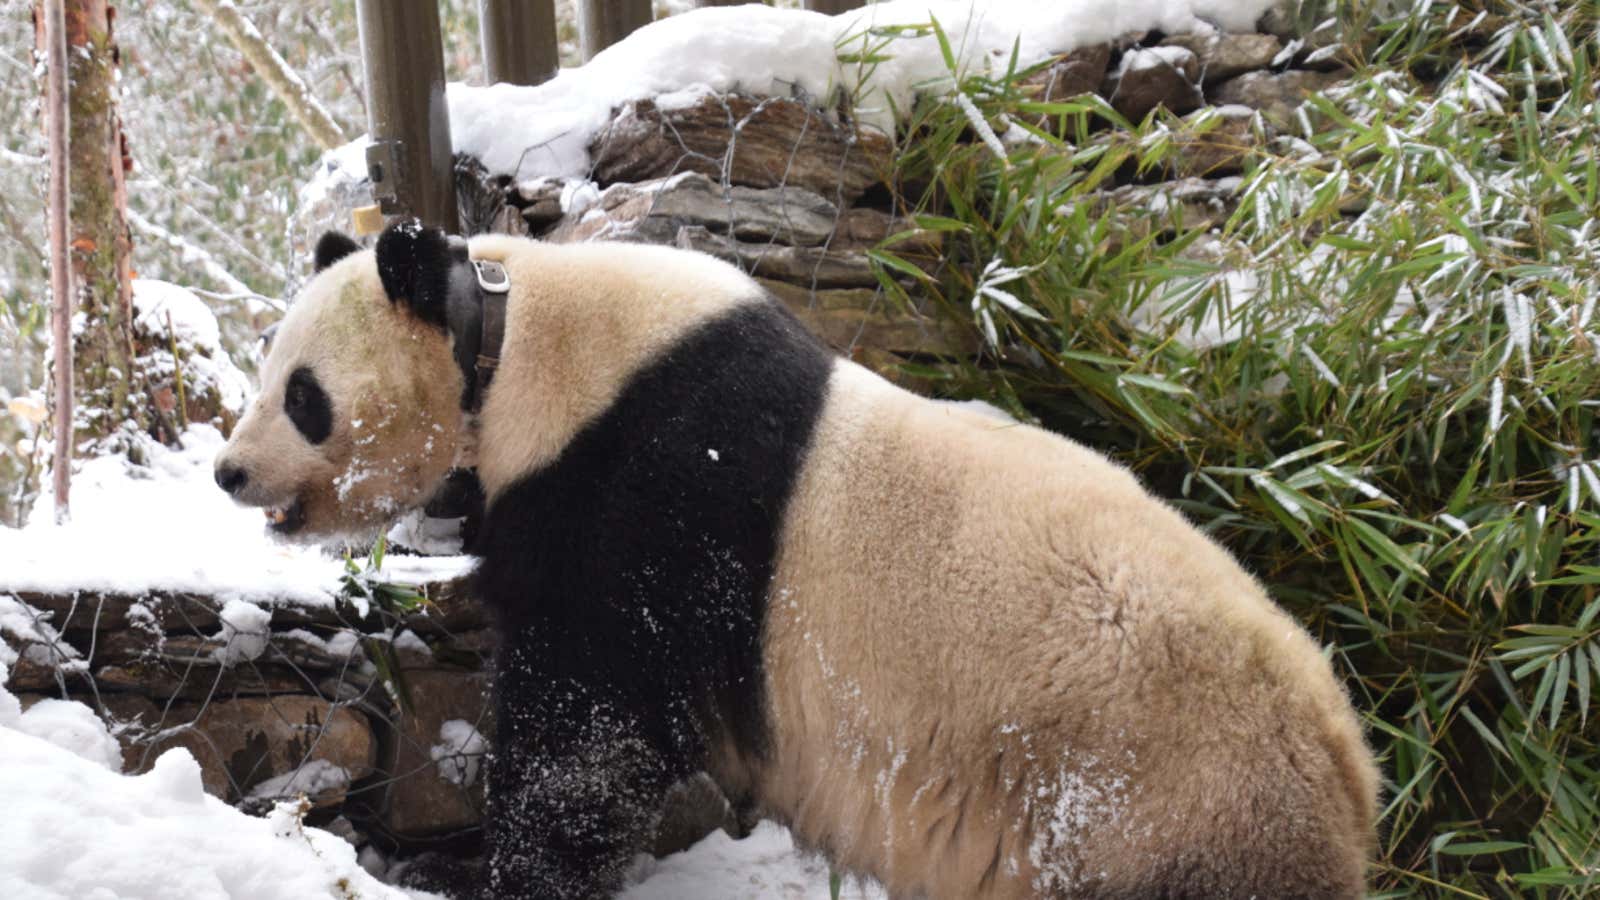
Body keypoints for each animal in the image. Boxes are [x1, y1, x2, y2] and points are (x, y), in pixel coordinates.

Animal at [219, 219, 1382, 896]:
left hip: (1142, 807)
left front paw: (494, 871)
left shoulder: (644, 495)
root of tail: (1350, 774)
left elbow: (592, 733)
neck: (506, 341)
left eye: (302, 394)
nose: (229, 474)